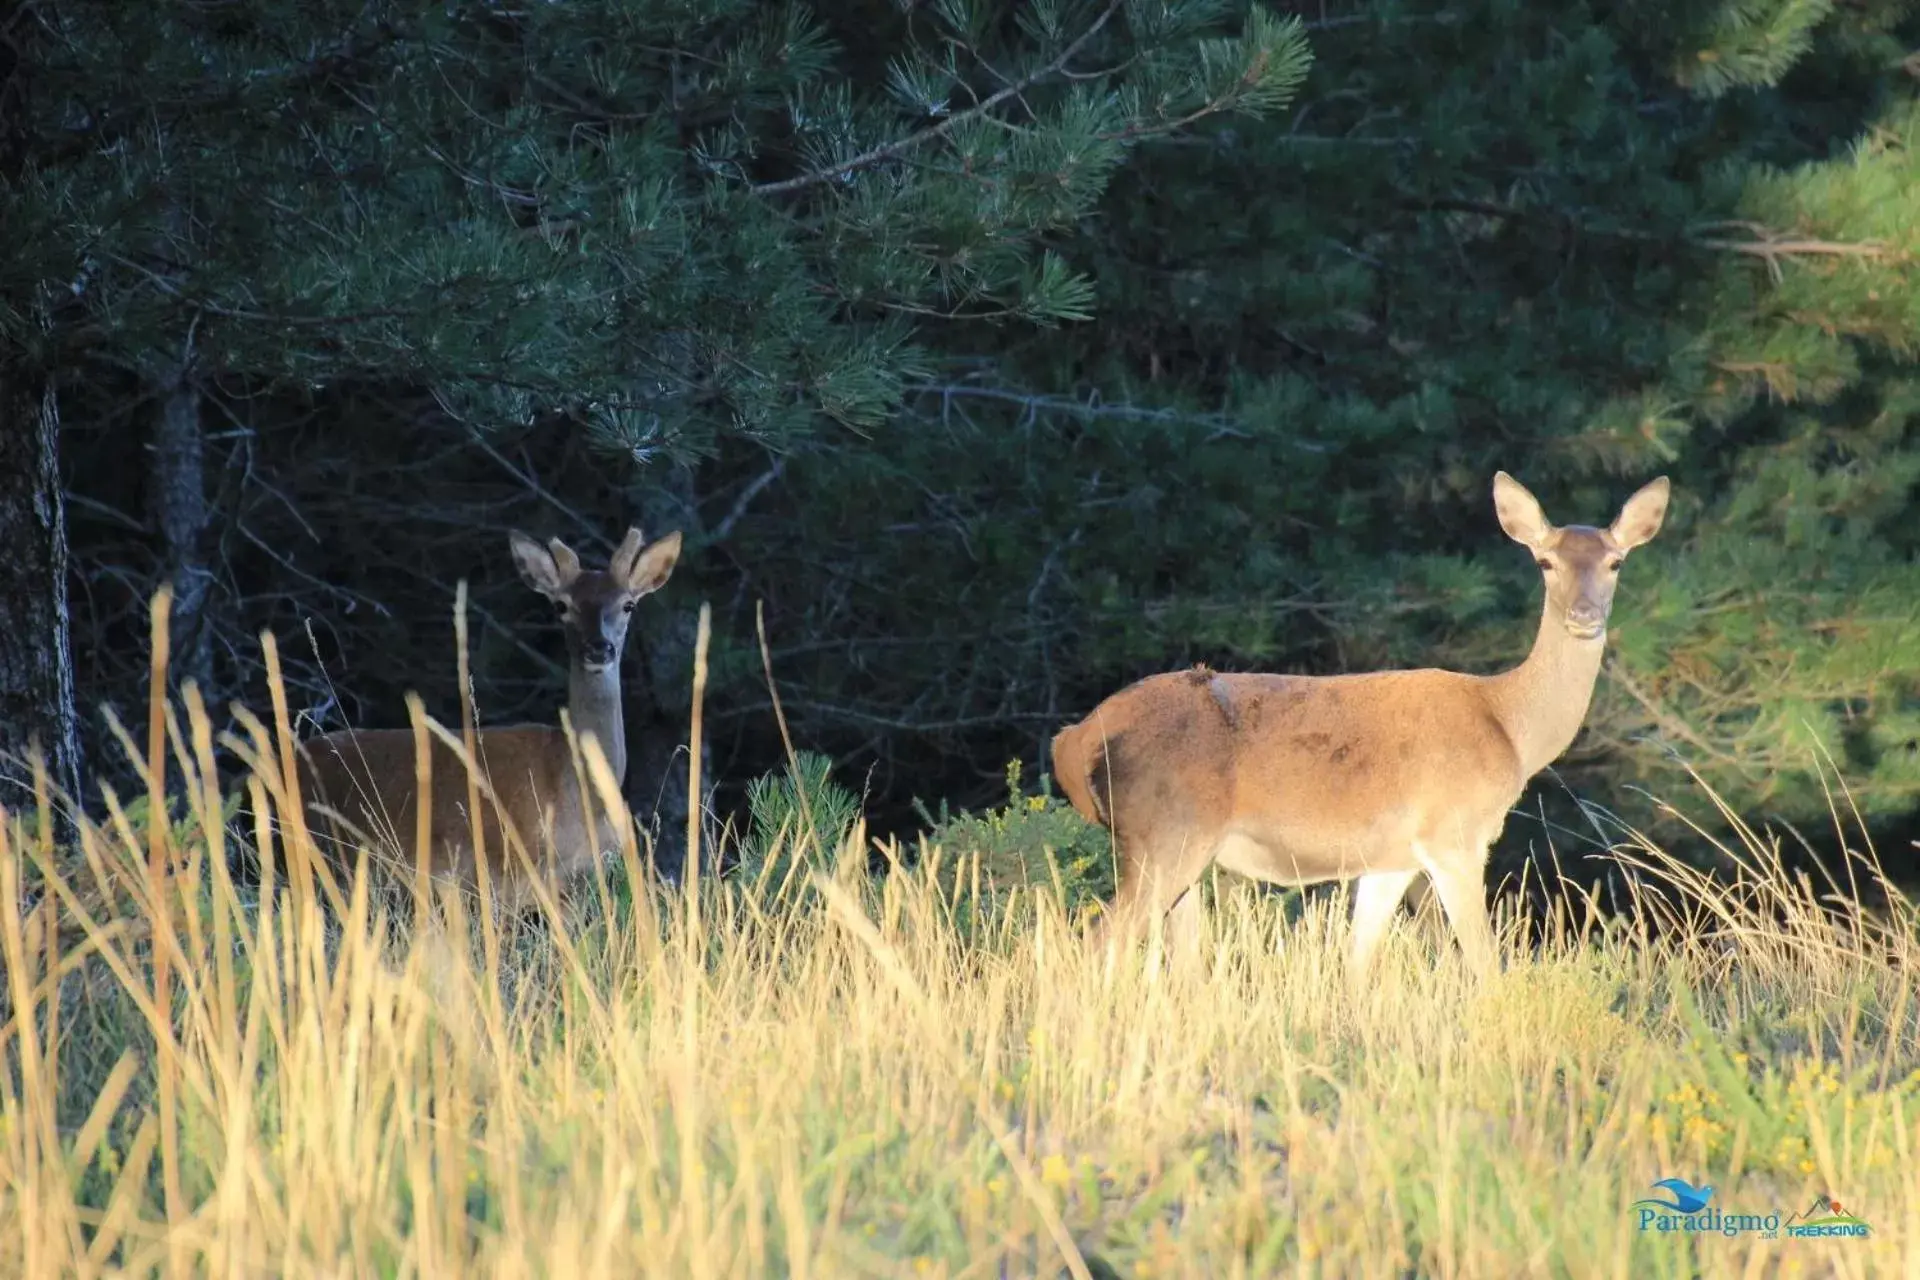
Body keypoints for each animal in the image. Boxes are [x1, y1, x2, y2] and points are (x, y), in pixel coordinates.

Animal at [1052, 470, 1666, 982]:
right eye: (1545, 562)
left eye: (1615, 562)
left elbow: (1356, 965)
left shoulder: (1391, 858)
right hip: (1168, 832)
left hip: (1173, 851)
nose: (1584, 616)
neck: (1511, 728)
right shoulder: (1453, 834)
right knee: (1096, 942)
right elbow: (1484, 965)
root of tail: (1076, 737)